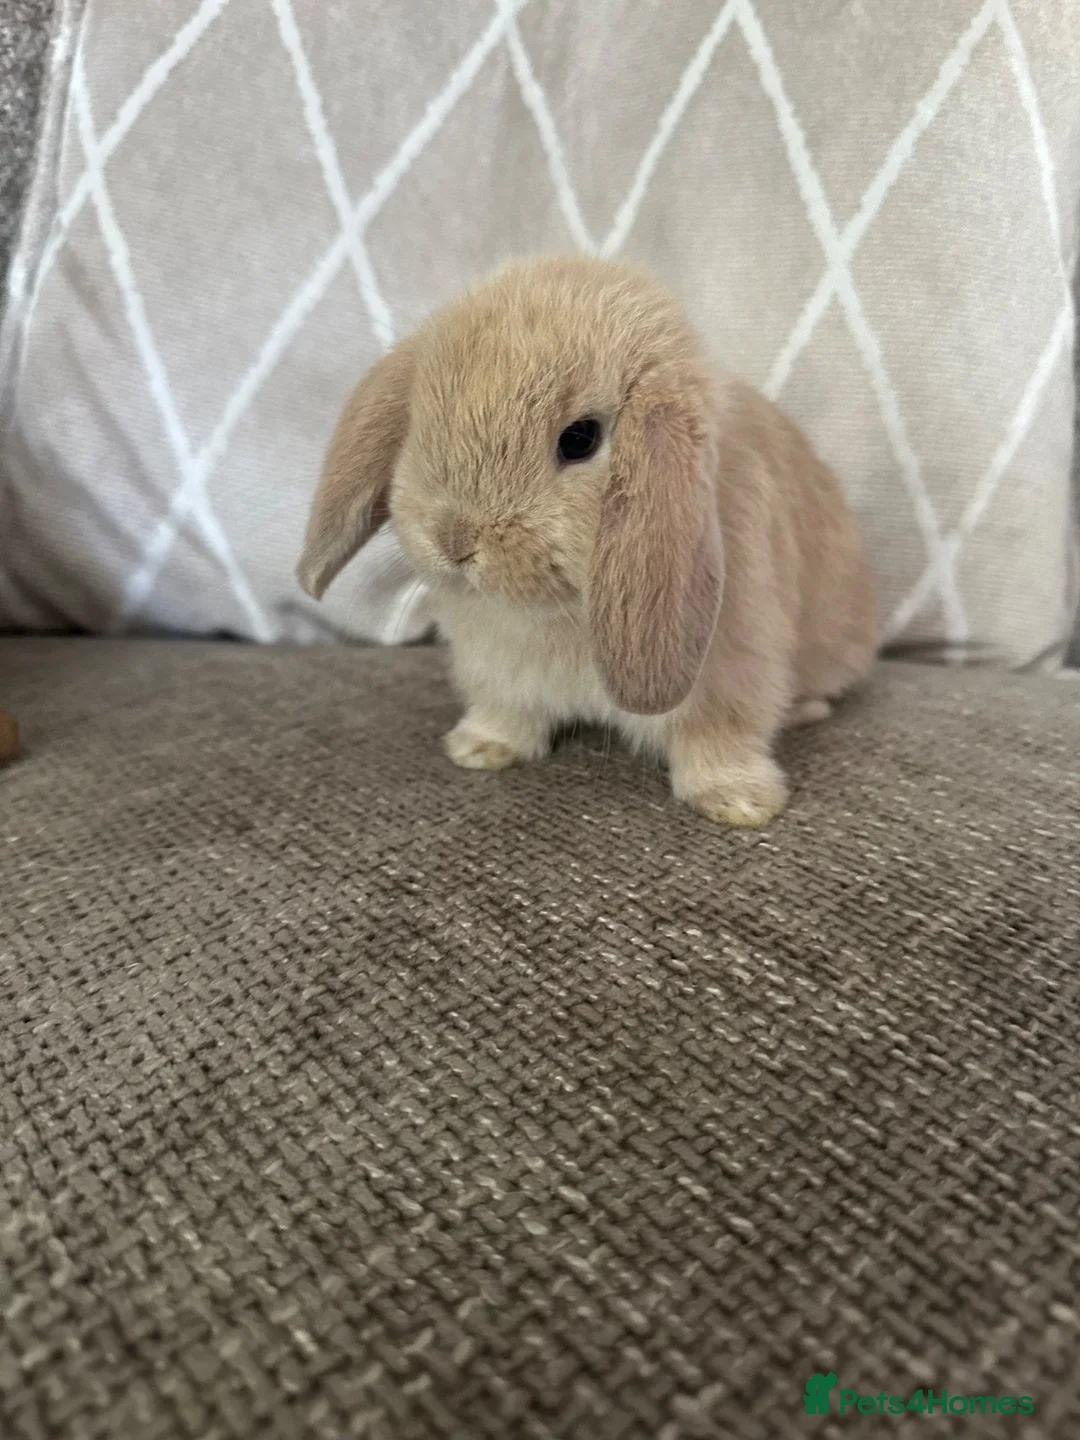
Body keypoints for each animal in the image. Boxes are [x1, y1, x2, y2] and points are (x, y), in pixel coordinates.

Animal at [297, 255, 877, 826]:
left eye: (580, 439)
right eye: (420, 421)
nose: (454, 540)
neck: (561, 611)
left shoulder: (733, 675)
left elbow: (718, 739)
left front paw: (739, 802)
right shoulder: (500, 674)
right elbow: (507, 713)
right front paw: (479, 749)